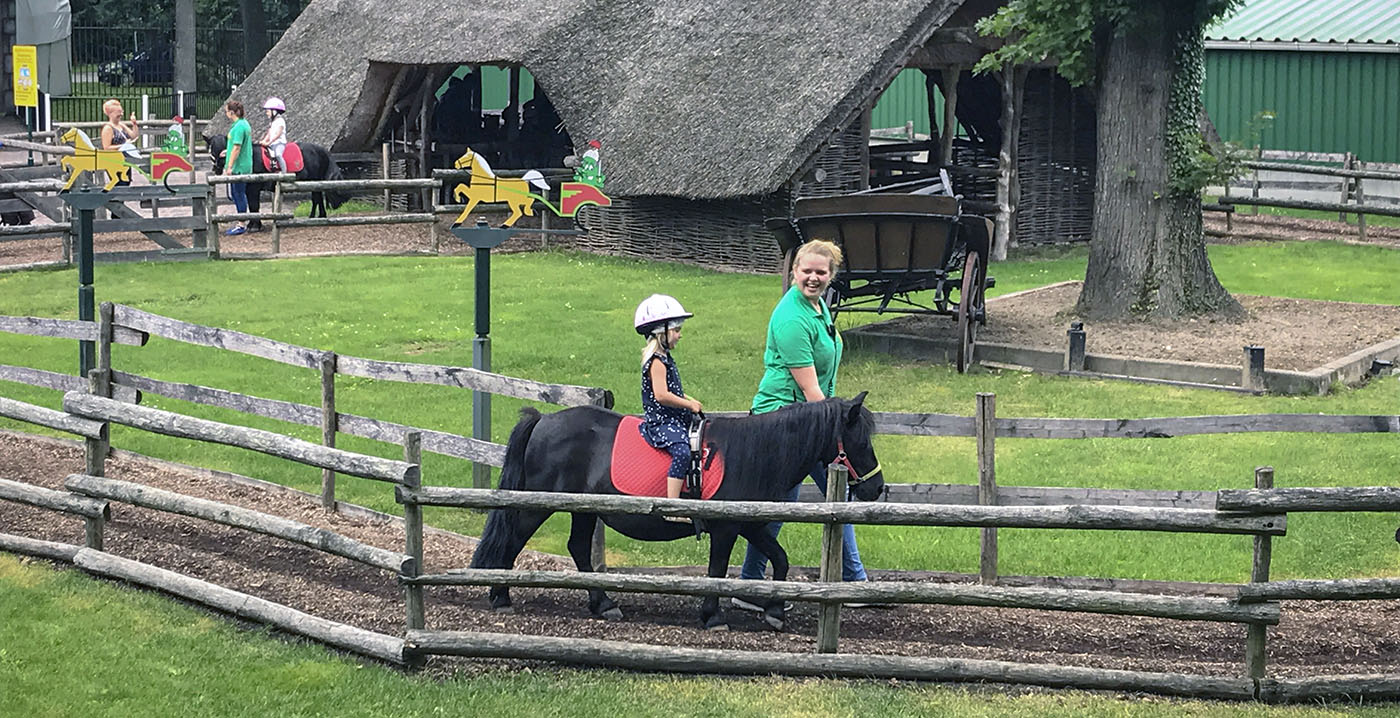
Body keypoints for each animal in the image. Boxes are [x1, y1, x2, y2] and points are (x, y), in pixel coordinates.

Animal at [205, 133, 350, 229]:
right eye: (211, 150)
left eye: (224, 150)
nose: (217, 169)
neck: (249, 158)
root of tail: (321, 150)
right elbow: (252, 207)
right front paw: (254, 224)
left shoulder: (254, 188)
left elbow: (254, 206)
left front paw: (255, 226)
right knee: (317, 199)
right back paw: (317, 216)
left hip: (314, 181)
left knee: (316, 198)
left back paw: (318, 216)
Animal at [470, 391, 884, 627]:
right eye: (860, 440)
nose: (877, 487)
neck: (751, 453)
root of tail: (542, 420)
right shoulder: (725, 528)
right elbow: (717, 570)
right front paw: (713, 616)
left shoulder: (748, 524)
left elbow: (779, 559)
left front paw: (775, 611)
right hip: (537, 505)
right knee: (512, 543)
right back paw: (501, 597)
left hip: (583, 510)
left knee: (578, 549)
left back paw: (603, 604)